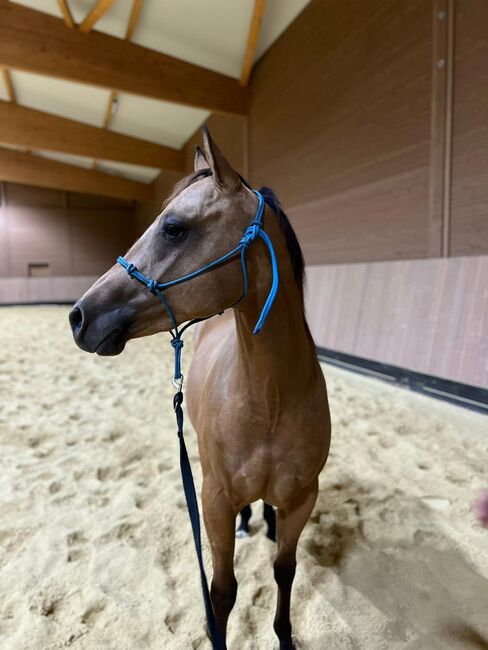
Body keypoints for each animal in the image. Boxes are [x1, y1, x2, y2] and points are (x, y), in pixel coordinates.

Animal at [69, 129, 332, 644]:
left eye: (173, 227)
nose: (79, 316)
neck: (270, 397)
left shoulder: (302, 499)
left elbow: (285, 570)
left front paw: (284, 635)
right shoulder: (212, 501)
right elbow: (222, 591)